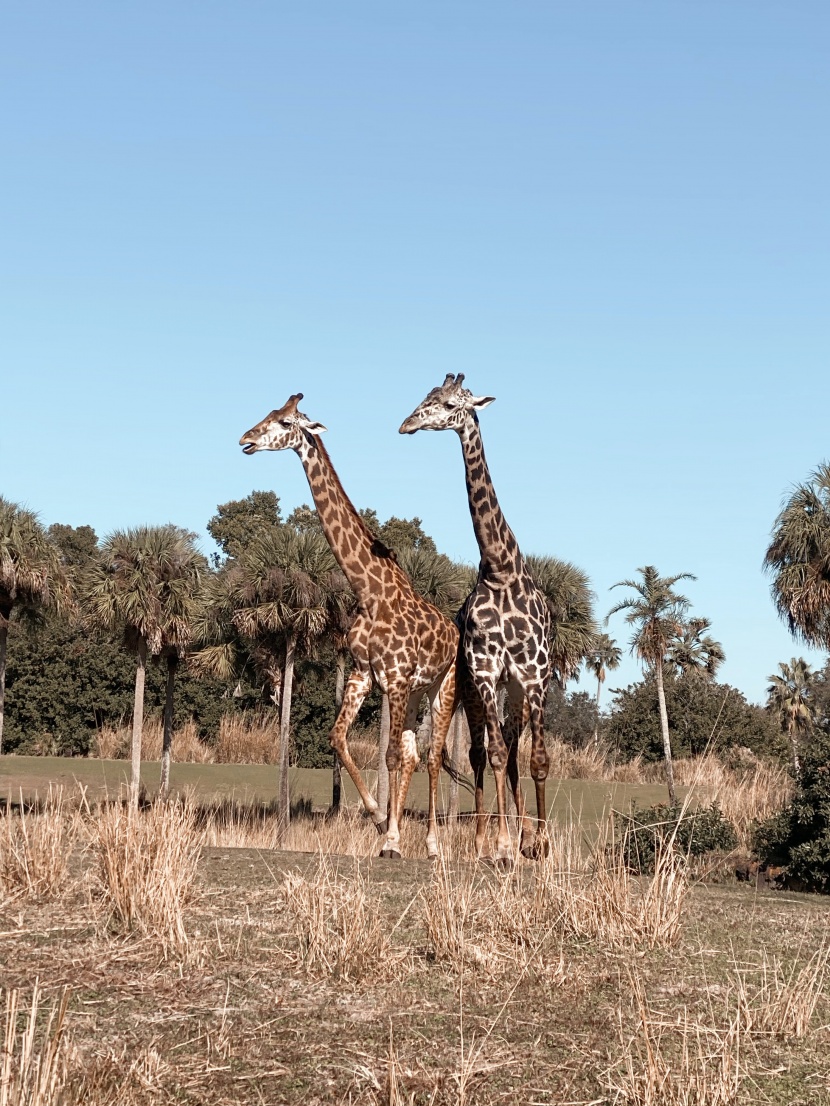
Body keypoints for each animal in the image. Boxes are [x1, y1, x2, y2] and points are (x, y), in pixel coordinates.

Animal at [240, 393, 462, 858]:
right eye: (268, 414)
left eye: (284, 421)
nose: (245, 439)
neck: (369, 590)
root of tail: (454, 632)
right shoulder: (365, 674)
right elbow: (337, 738)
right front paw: (380, 821)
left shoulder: (395, 677)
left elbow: (390, 757)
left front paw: (392, 838)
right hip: (414, 693)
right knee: (415, 754)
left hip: (442, 686)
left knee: (432, 756)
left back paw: (433, 844)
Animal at [400, 373, 555, 862]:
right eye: (425, 399)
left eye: (451, 404)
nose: (407, 424)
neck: (502, 569)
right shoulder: (485, 671)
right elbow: (496, 755)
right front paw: (503, 845)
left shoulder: (533, 675)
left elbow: (536, 758)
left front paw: (540, 844)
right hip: (471, 689)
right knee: (482, 753)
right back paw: (486, 839)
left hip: (515, 692)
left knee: (513, 749)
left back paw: (524, 838)